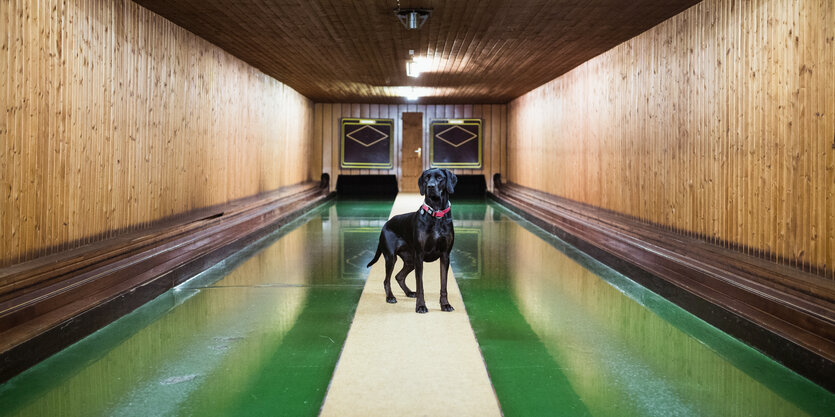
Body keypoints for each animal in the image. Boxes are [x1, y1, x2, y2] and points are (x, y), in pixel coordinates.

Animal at [366, 168, 458, 312]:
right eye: (426, 178)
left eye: (439, 178)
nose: (430, 186)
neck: (436, 214)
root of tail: (386, 224)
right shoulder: (419, 256)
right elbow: (420, 285)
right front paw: (421, 306)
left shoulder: (445, 256)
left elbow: (444, 285)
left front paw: (445, 304)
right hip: (391, 258)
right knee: (387, 280)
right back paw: (390, 297)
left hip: (410, 260)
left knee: (399, 276)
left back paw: (409, 292)